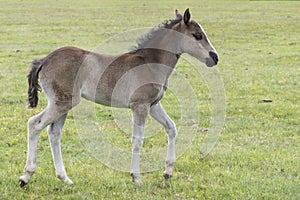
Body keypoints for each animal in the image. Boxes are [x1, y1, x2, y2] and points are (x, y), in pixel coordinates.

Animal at [20, 8, 218, 187]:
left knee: (54, 133)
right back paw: (26, 177)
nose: (215, 58)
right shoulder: (140, 106)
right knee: (34, 124)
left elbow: (171, 128)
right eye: (197, 35)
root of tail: (44, 60)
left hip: (64, 104)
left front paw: (167, 172)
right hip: (62, 103)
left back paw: (65, 178)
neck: (150, 63)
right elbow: (137, 140)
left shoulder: (153, 105)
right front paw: (136, 178)